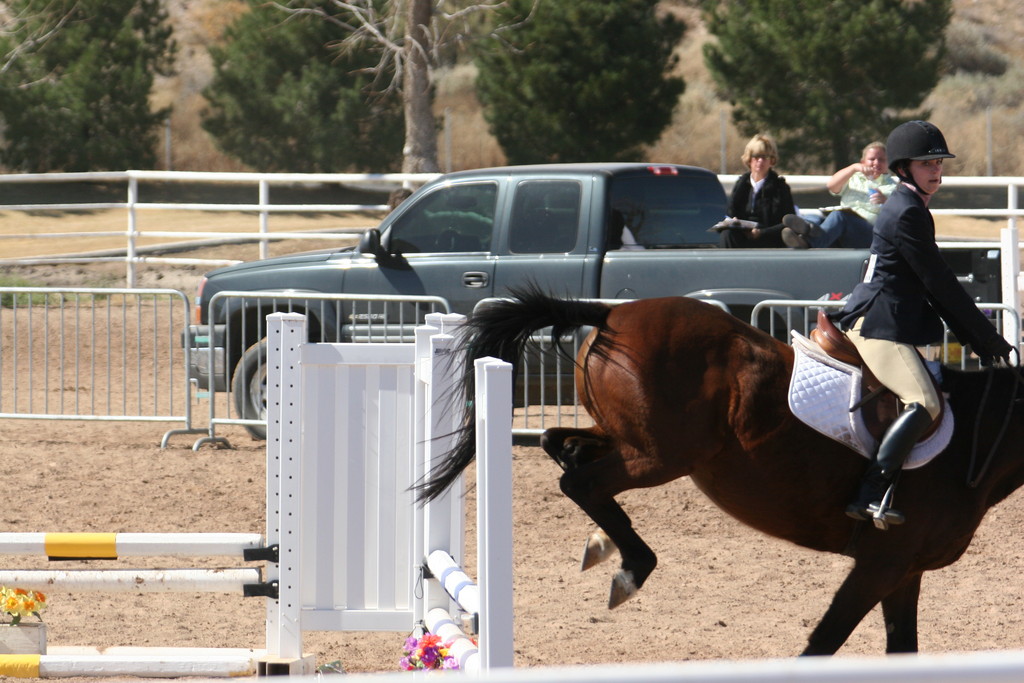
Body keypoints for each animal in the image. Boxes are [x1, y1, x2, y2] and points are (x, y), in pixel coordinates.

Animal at [415, 286, 1024, 655]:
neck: (978, 437)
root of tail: (609, 312)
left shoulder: (904, 571)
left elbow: (900, 648)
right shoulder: (881, 563)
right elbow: (823, 642)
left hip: (630, 441)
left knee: (559, 446)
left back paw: (603, 544)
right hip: (662, 456)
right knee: (578, 478)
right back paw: (632, 566)